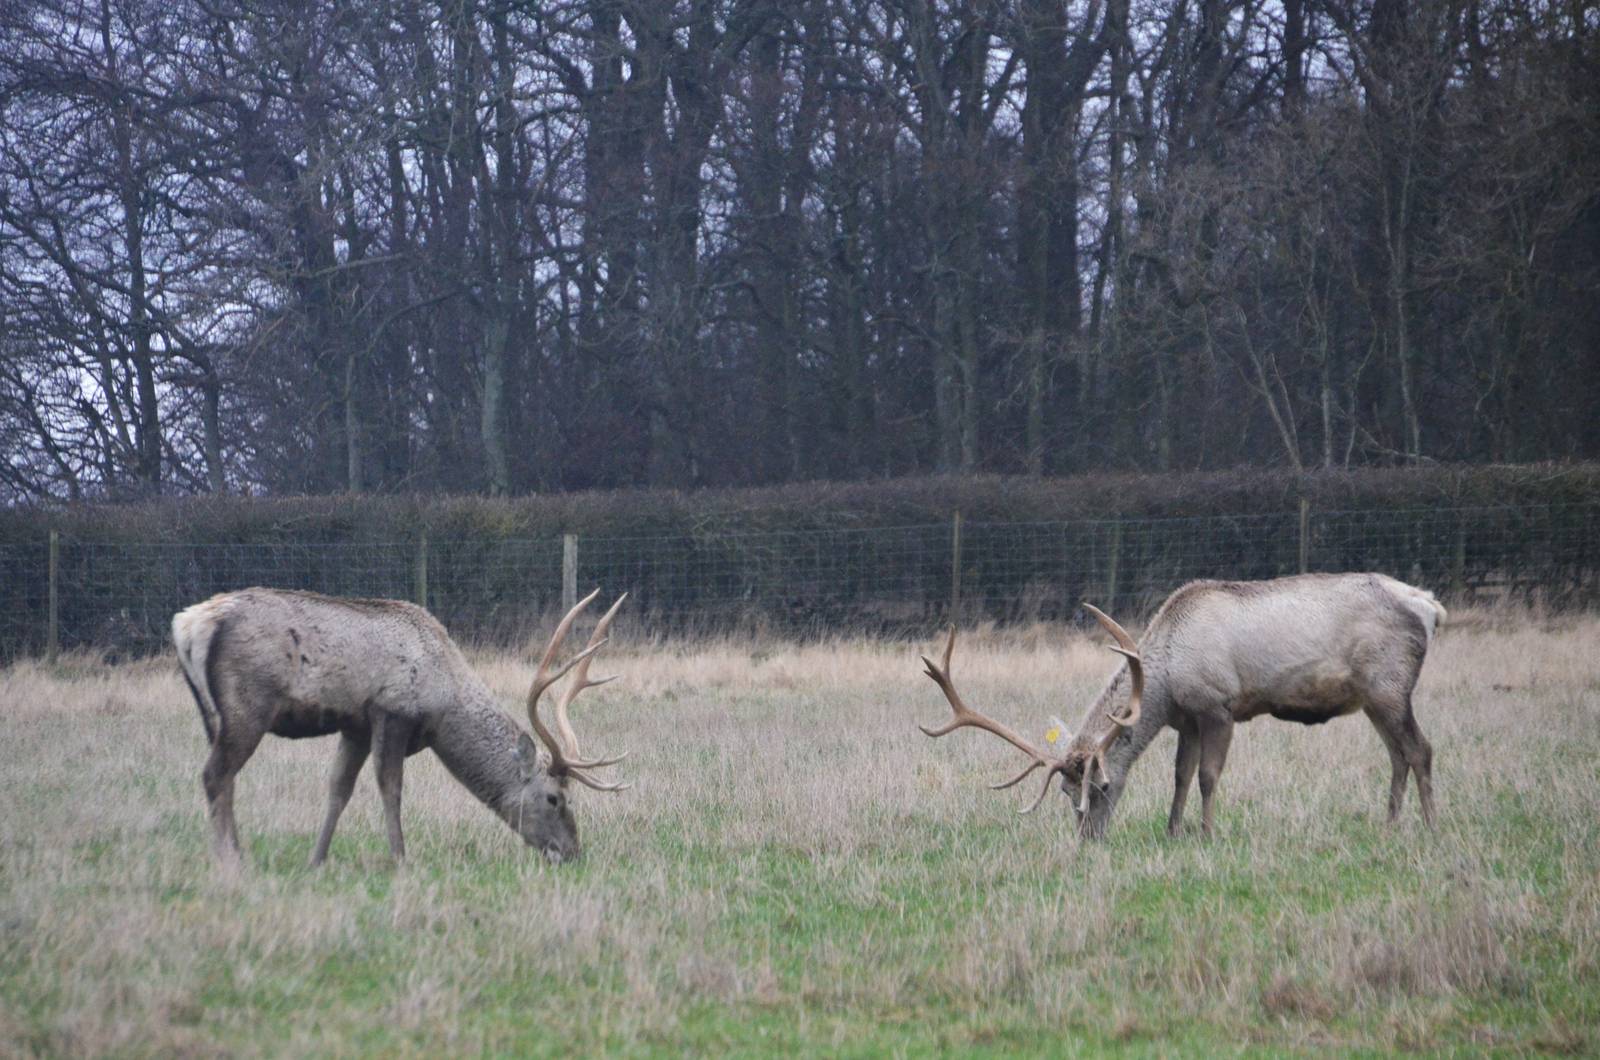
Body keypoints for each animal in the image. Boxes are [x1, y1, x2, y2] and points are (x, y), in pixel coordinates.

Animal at [172, 586, 630, 869]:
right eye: (554, 798)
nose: (572, 852)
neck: (444, 703)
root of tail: (188, 624)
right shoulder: (391, 713)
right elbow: (390, 789)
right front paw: (401, 860)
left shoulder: (355, 726)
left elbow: (338, 789)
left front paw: (317, 860)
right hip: (247, 703)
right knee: (215, 774)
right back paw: (232, 860)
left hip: (212, 715)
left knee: (223, 778)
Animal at [916, 572, 1445, 839]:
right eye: (1067, 793)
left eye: (1102, 786)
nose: (1087, 838)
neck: (1168, 681)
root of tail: (1430, 606)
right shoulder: (1186, 720)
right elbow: (1181, 774)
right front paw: (1173, 830)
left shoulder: (1219, 705)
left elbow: (1209, 775)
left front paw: (1208, 833)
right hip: (1373, 698)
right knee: (1397, 754)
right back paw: (1389, 825)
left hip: (1390, 684)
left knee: (1420, 749)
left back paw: (1430, 827)